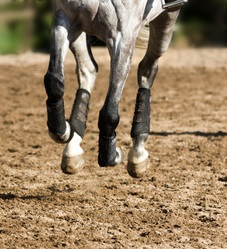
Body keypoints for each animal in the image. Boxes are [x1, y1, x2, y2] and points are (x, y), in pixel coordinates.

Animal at [43, 0, 187, 177]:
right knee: (88, 69)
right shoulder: (64, 19)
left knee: (147, 70)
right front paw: (65, 130)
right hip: (80, 29)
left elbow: (109, 114)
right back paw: (72, 149)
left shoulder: (123, 39)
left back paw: (138, 154)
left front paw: (113, 155)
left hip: (168, 18)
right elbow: (53, 82)